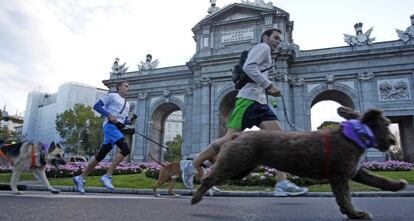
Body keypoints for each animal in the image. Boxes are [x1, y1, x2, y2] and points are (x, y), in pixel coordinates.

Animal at [191, 107, 408, 219]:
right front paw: (355, 213)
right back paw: (196, 196)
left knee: (215, 175)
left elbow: (378, 180)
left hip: (241, 169)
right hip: (235, 164)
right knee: (210, 177)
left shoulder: (354, 171)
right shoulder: (339, 176)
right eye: (385, 124)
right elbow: (345, 198)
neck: (353, 135)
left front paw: (397, 185)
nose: (392, 141)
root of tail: (237, 135)